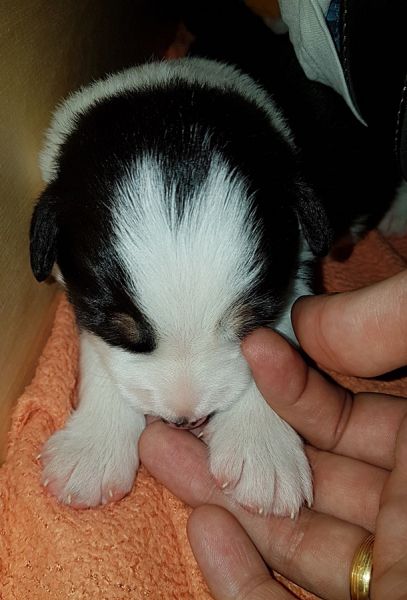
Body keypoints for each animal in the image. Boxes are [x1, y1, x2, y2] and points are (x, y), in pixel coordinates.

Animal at [30, 11, 404, 515]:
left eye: (249, 320)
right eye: (118, 325)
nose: (186, 420)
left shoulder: (295, 264)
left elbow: (278, 344)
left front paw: (263, 454)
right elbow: (97, 348)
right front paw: (92, 448)